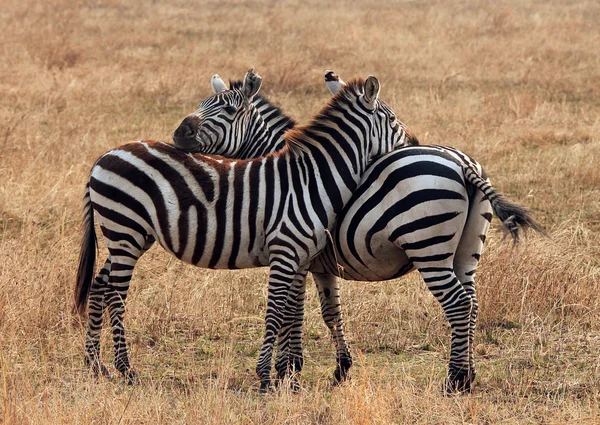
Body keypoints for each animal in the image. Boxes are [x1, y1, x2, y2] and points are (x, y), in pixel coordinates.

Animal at [72, 68, 406, 390]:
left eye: (229, 109)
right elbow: (282, 312)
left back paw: (95, 364)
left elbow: (304, 311)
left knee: (100, 285)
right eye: (392, 120)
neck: (310, 178)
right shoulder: (289, 252)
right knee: (116, 294)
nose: (178, 134)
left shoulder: (304, 257)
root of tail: (104, 157)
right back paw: (126, 370)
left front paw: (293, 372)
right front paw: (278, 375)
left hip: (130, 236)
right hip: (125, 230)